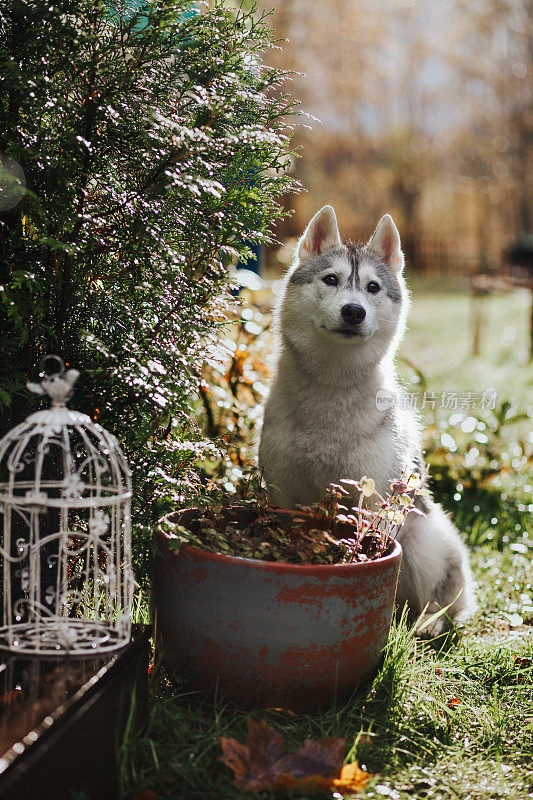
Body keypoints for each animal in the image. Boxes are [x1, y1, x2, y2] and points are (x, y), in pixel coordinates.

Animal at [258, 205, 474, 624]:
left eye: (373, 288)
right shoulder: (283, 493)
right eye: (331, 279)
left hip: (425, 538)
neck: (332, 385)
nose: (354, 311)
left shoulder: (375, 502)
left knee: (436, 601)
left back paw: (424, 623)